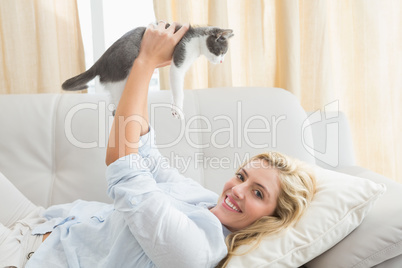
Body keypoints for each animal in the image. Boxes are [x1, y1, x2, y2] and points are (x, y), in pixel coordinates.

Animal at [61, 22, 234, 119]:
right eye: (221, 51)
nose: (221, 61)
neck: (196, 40)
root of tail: (100, 62)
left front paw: (174, 107)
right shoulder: (181, 54)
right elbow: (178, 85)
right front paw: (178, 109)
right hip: (121, 76)